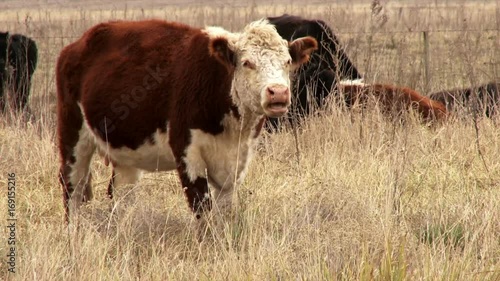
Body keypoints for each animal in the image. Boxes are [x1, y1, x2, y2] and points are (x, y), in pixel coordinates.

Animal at [55, 18, 316, 220]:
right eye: (247, 63)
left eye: (287, 62)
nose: (278, 92)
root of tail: (78, 44)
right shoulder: (187, 152)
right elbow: (202, 209)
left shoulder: (237, 161)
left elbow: (225, 211)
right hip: (73, 134)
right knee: (72, 187)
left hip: (124, 151)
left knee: (120, 194)